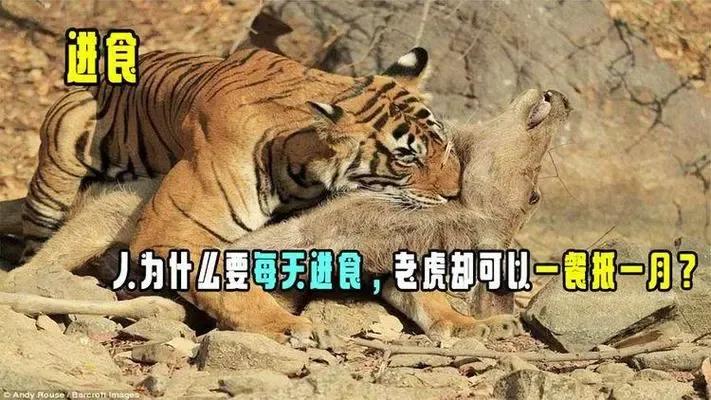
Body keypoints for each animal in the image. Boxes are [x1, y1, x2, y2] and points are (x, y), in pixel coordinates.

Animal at [19, 47, 462, 338]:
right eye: (407, 157)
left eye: (443, 144)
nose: (456, 192)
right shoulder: (172, 230)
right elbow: (228, 288)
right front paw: (287, 326)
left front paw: (463, 323)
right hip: (58, 175)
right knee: (31, 262)